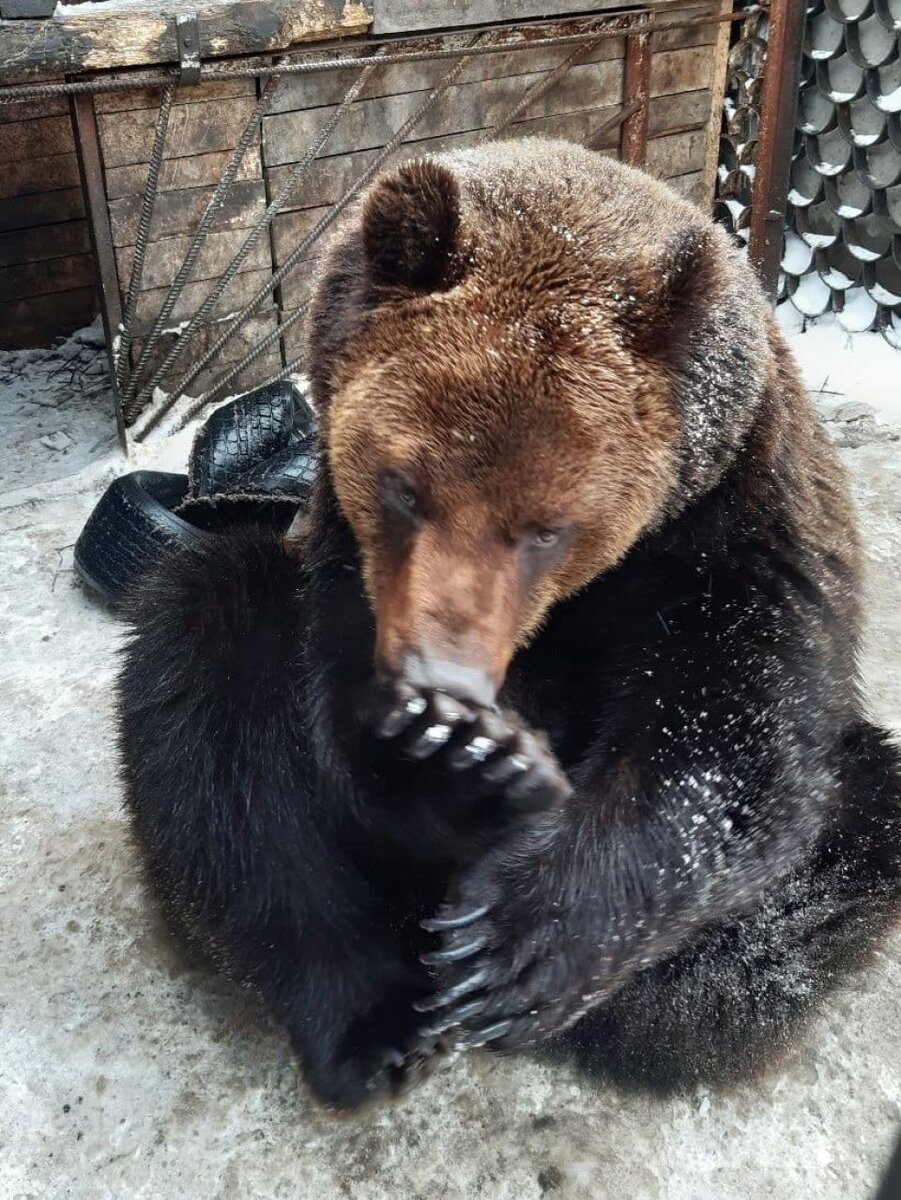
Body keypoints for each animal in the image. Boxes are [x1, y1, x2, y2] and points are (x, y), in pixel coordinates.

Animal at [118, 138, 901, 1104]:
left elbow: (724, 733)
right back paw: (370, 1027)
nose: (444, 677)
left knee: (834, 848)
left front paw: (515, 945)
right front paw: (457, 757)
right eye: (404, 487)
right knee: (210, 696)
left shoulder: (736, 520)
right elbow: (324, 723)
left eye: (547, 528)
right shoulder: (340, 542)